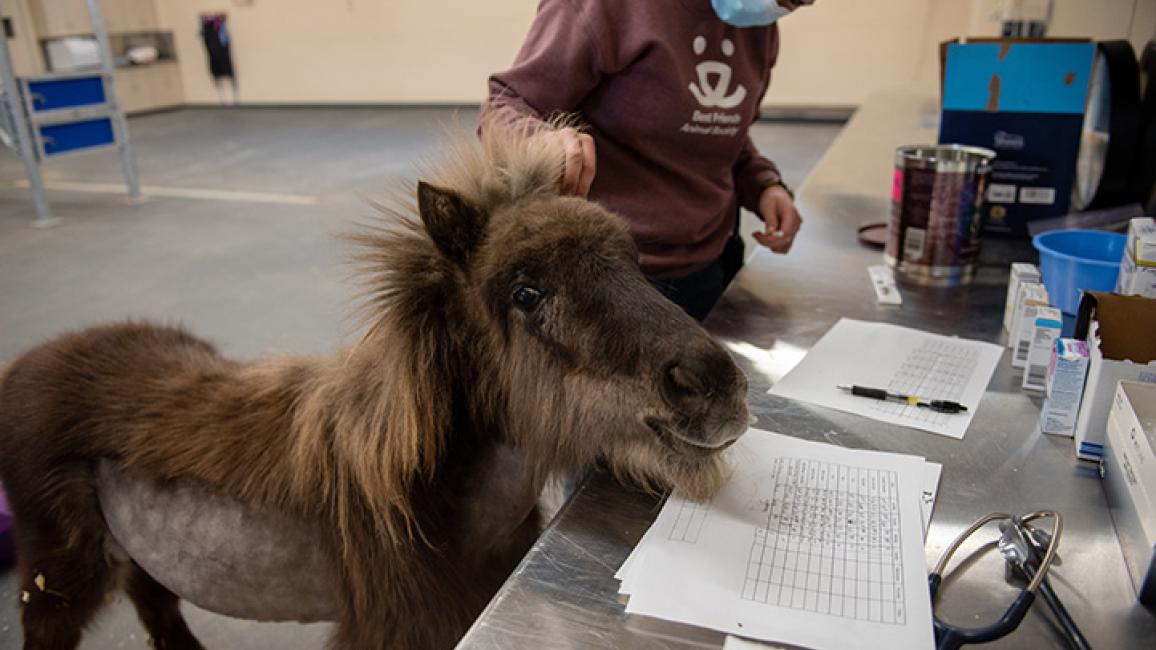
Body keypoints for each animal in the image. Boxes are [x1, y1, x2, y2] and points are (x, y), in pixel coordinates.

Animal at [0, 122, 750, 649]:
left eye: (633, 259)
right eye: (526, 292)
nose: (716, 386)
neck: (424, 499)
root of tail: (25, 366)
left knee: (157, 607)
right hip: (59, 578)